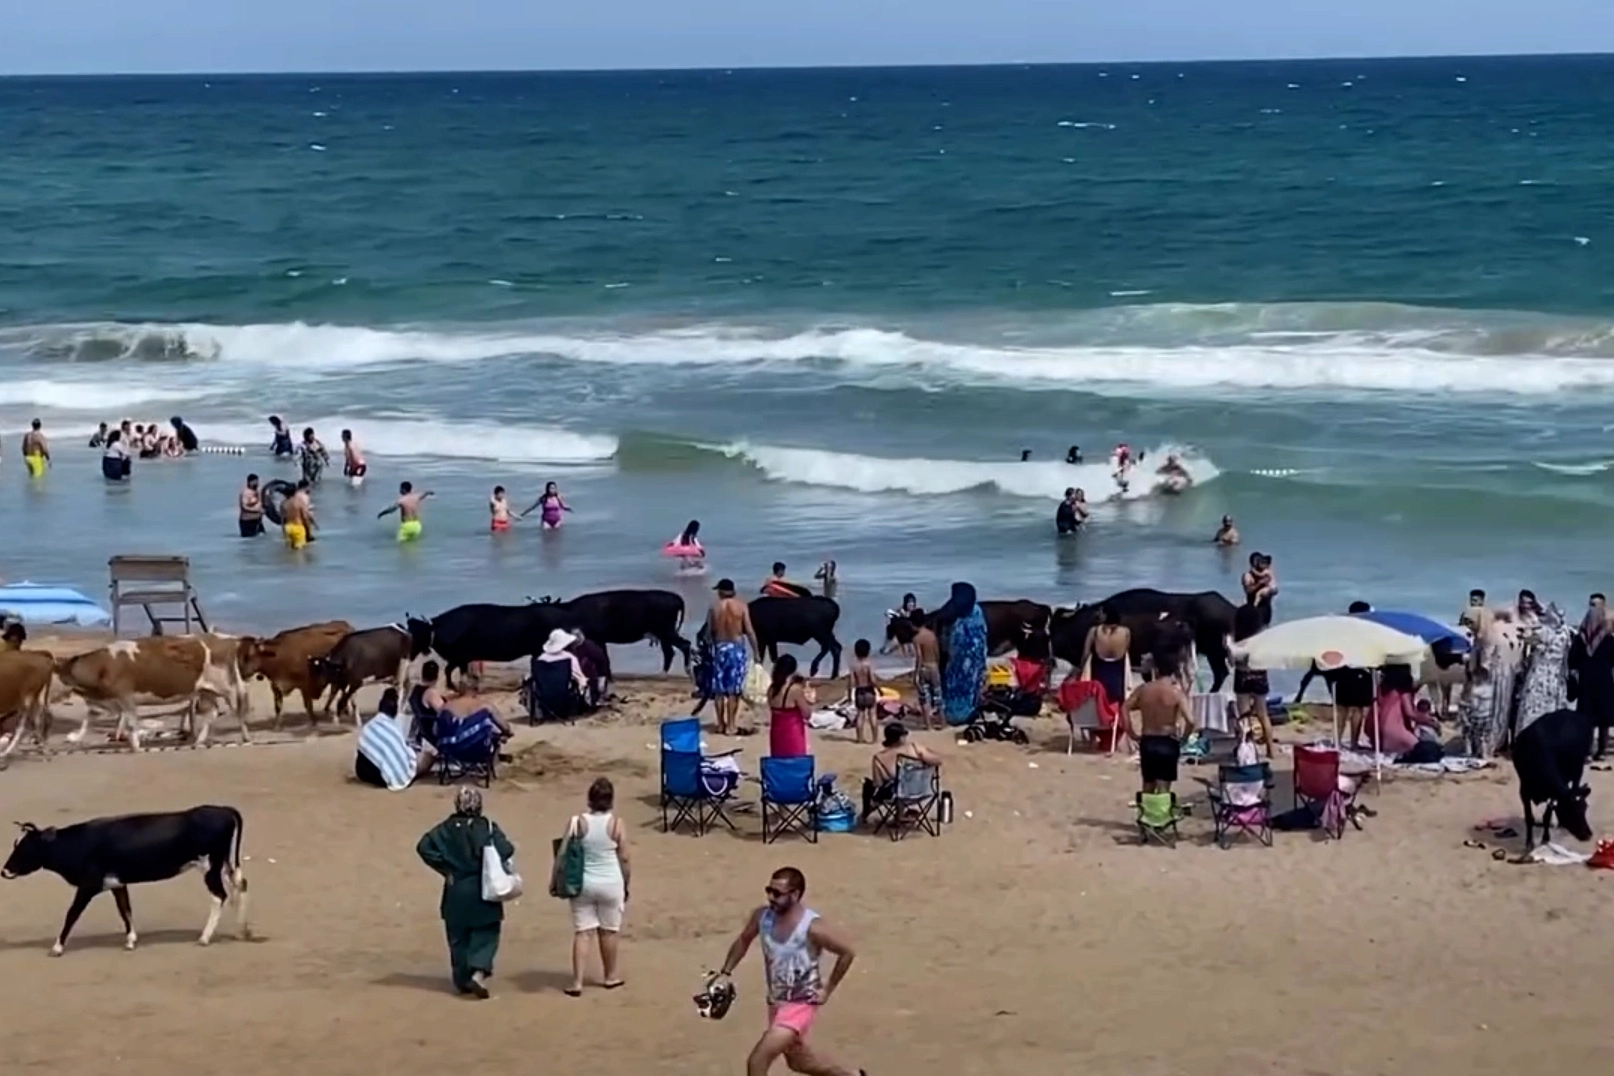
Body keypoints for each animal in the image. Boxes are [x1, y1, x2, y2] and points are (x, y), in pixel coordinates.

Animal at [2, 806, 248, 961]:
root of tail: (224, 810)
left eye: (24, 847)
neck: (78, 843)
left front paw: (57, 947)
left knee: (220, 896)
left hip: (209, 867)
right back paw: (242, 932)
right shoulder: (117, 883)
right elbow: (125, 909)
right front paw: (130, 941)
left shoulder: (88, 885)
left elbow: (72, 914)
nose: (4, 871)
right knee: (240, 885)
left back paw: (205, 938)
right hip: (227, 864)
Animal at [57, 635, 246, 754]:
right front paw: (77, 737)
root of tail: (222, 640)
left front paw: (136, 747)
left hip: (225, 687)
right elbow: (87, 720)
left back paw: (245, 737)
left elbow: (132, 722)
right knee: (212, 712)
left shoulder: (125, 697)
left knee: (237, 708)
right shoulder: (102, 702)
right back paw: (199, 741)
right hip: (205, 690)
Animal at [558, 590, 690, 674]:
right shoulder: (600, 640)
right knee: (669, 652)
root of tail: (676, 598)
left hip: (666, 631)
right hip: (664, 634)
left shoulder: (597, 638)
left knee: (684, 645)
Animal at [1504, 709, 1594, 851]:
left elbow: (1547, 816)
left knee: (1575, 785)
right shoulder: (1524, 790)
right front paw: (1529, 843)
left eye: (1585, 809)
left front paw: (1545, 839)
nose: (1588, 835)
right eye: (1571, 810)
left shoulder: (1552, 793)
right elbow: (1529, 817)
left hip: (1578, 768)